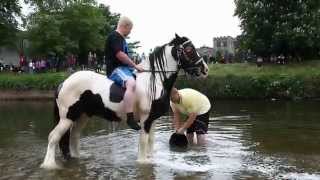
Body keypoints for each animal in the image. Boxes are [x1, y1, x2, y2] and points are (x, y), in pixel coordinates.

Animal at [40, 33, 210, 169]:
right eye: (189, 50)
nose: (205, 69)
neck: (153, 81)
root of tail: (63, 82)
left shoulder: (153, 120)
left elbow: (151, 142)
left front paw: (151, 159)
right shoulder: (145, 120)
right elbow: (143, 142)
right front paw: (143, 162)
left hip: (82, 116)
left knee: (74, 137)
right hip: (67, 118)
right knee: (53, 137)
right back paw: (49, 165)